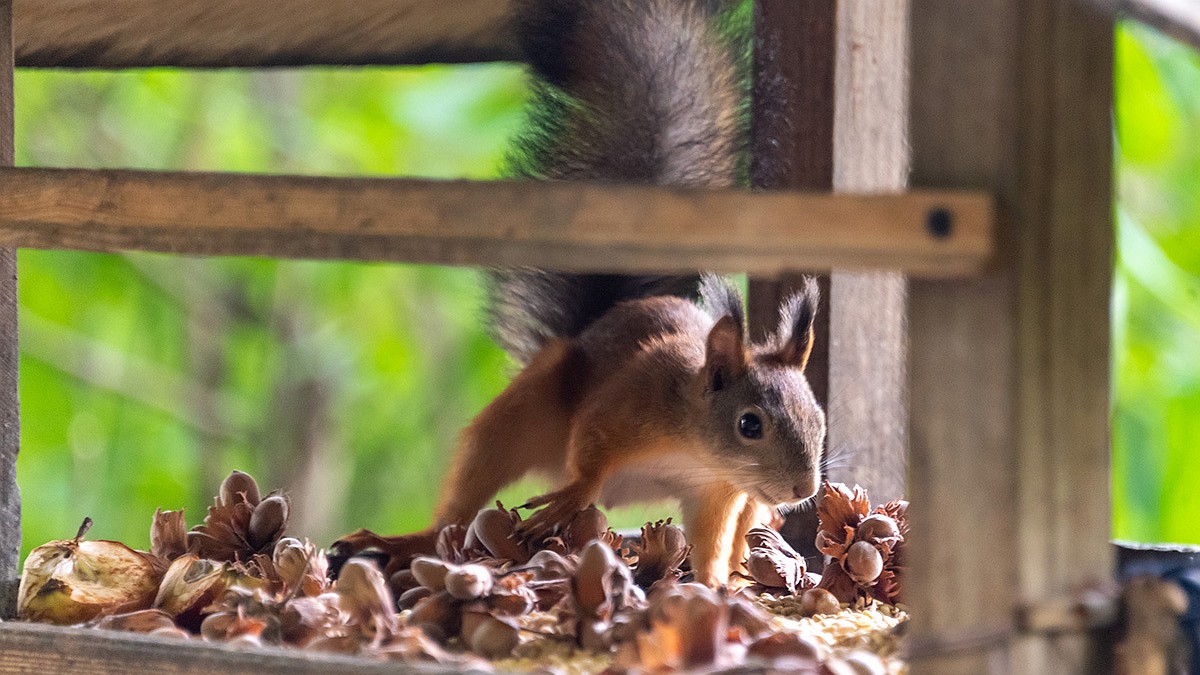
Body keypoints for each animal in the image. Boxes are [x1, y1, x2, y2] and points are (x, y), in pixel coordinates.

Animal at [345, 0, 825, 583]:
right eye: (749, 424)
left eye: (818, 419)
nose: (803, 489)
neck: (695, 450)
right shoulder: (628, 403)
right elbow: (591, 448)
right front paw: (577, 493)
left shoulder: (716, 491)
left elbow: (711, 541)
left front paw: (712, 585)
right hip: (524, 412)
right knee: (468, 490)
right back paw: (409, 540)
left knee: (741, 525)